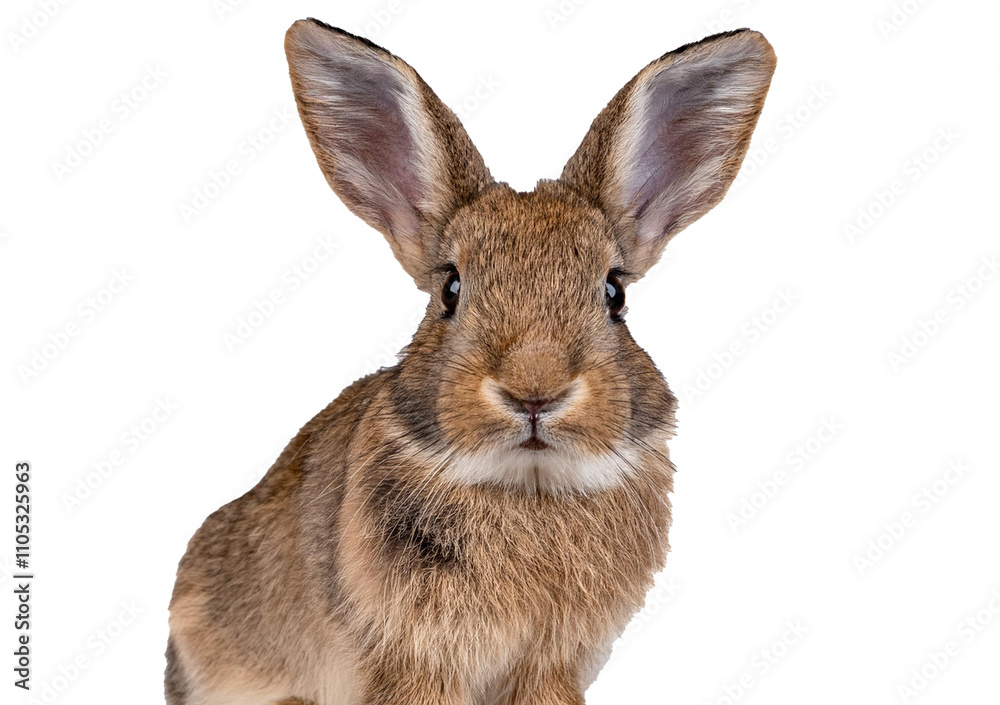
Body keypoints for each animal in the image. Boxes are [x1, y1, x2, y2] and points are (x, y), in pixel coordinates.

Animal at [166, 17, 776, 705]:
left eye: (614, 293)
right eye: (451, 290)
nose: (534, 392)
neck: (528, 486)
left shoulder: (549, 666)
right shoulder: (415, 659)